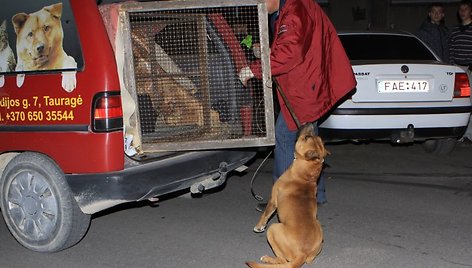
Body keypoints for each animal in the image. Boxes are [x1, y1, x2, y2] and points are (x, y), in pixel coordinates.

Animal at [247, 123, 328, 268]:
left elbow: (265, 214)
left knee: (282, 260)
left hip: (273, 229)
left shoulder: (273, 200)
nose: (310, 123)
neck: (305, 176)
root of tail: (302, 253)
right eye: (313, 137)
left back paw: (268, 259)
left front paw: (259, 226)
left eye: (306, 137)